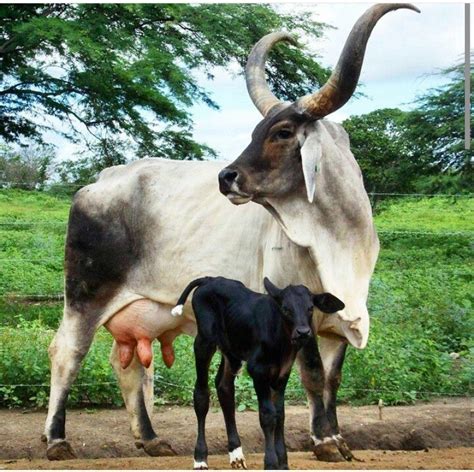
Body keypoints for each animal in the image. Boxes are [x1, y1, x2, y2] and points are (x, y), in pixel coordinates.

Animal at [170, 274, 344, 470]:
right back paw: (200, 458)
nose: (303, 332)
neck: (281, 342)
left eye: (310, 308)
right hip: (204, 341)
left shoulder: (282, 374)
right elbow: (267, 415)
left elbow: (280, 414)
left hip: (232, 352)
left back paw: (236, 453)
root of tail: (210, 279)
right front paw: (271, 462)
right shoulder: (258, 371)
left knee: (224, 388)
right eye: (286, 308)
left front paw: (283, 462)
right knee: (201, 394)